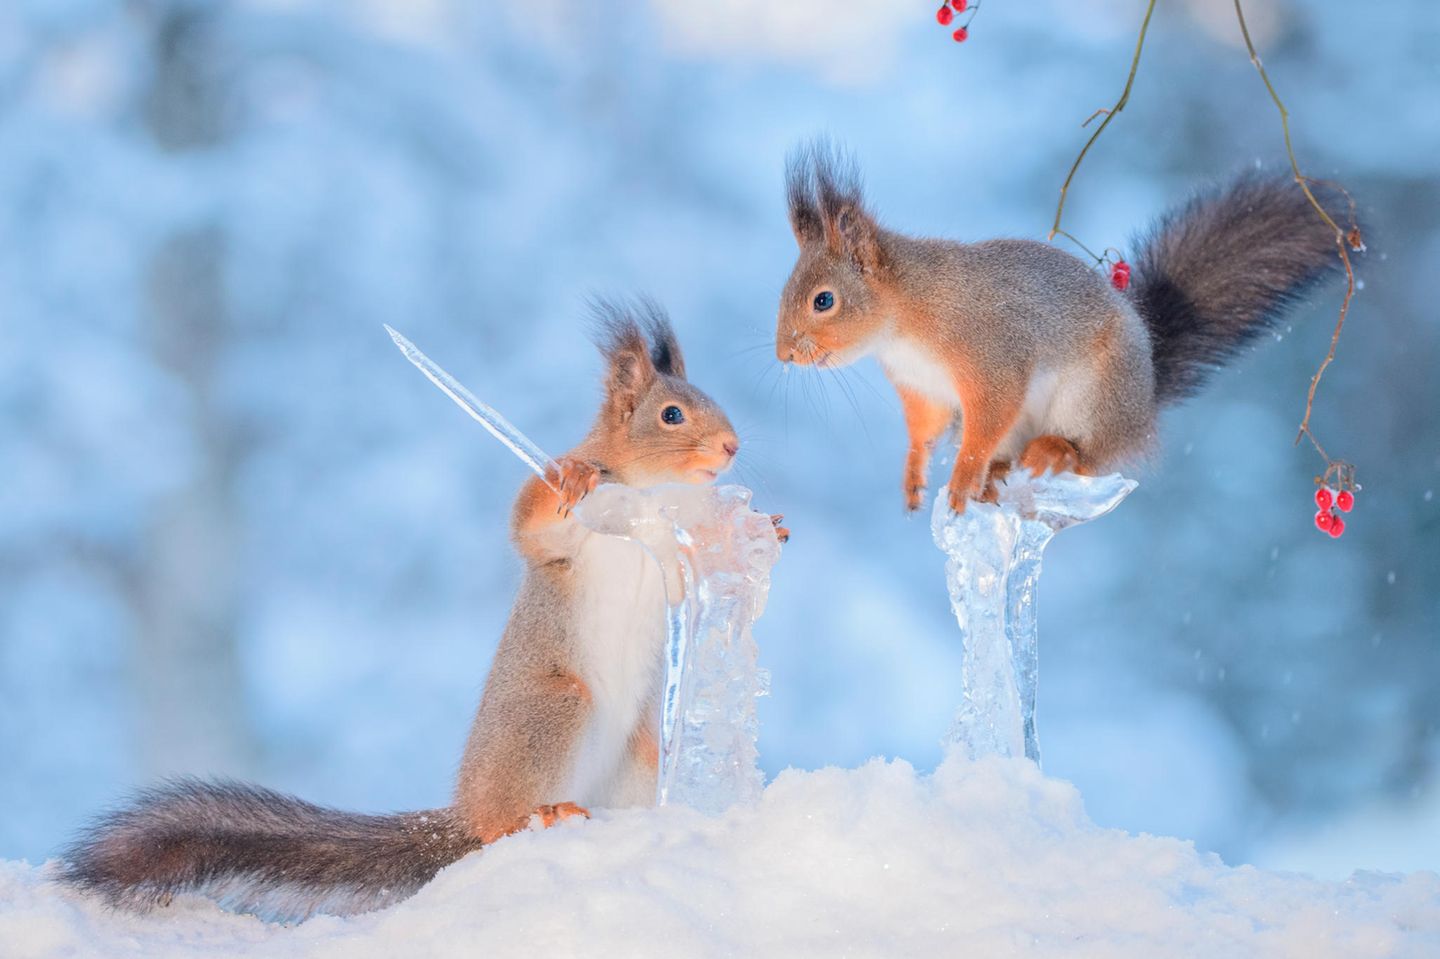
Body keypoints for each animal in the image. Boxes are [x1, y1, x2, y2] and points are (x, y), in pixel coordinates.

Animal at [60, 300, 781, 920]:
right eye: (671, 415)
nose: (733, 447)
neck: (653, 497)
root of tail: (463, 812)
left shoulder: (670, 554)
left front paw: (764, 530)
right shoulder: (568, 542)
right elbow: (535, 527)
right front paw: (574, 483)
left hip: (639, 747)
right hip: (554, 708)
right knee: (502, 821)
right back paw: (537, 816)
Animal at [776, 142, 1350, 513]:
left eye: (824, 300)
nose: (785, 355)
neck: (902, 323)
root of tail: (1143, 407)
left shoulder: (990, 355)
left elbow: (987, 418)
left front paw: (962, 477)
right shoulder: (924, 390)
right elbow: (925, 428)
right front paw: (916, 473)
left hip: (1095, 399)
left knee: (1088, 459)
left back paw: (1051, 453)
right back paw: (999, 476)